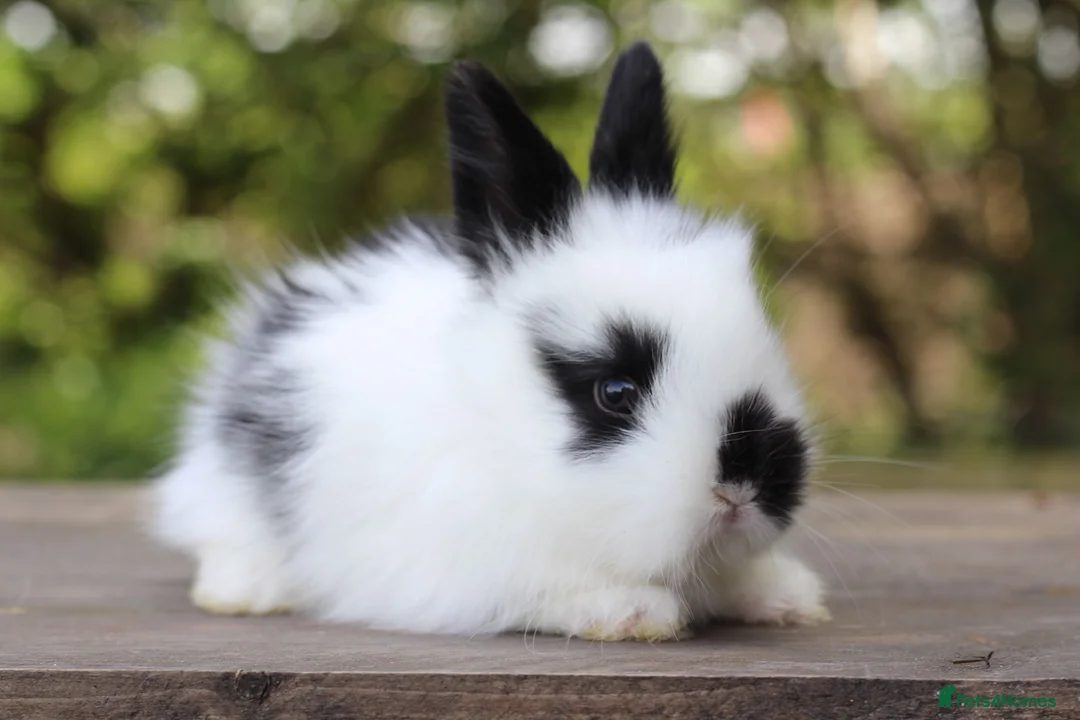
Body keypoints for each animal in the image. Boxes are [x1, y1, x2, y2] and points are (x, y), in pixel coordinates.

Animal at [151, 41, 830, 641]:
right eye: (615, 391)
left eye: (763, 329)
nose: (748, 481)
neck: (501, 439)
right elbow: (543, 589)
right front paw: (634, 612)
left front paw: (787, 597)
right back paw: (244, 592)